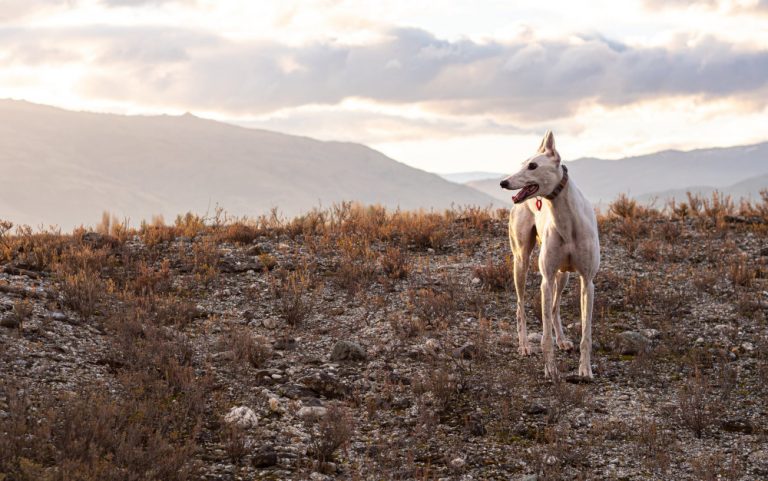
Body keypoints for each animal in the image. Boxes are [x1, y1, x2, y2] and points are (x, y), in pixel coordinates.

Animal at [500, 130, 604, 378]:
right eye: (522, 163)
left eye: (533, 165)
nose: (503, 182)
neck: (567, 220)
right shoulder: (545, 280)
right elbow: (545, 333)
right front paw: (550, 369)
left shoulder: (587, 281)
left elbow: (586, 333)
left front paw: (585, 369)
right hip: (521, 262)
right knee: (520, 307)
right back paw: (524, 345)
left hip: (563, 274)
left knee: (556, 307)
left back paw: (563, 340)